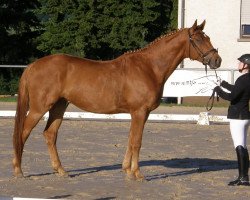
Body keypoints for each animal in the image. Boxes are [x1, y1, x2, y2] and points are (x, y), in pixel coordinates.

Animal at [13, 20, 221, 180]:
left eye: (208, 38)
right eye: (198, 39)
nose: (217, 60)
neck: (149, 67)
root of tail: (33, 65)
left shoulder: (140, 114)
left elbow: (131, 139)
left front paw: (127, 170)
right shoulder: (139, 112)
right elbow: (137, 142)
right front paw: (137, 174)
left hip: (59, 106)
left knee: (50, 134)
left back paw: (61, 171)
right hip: (39, 108)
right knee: (23, 133)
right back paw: (18, 170)